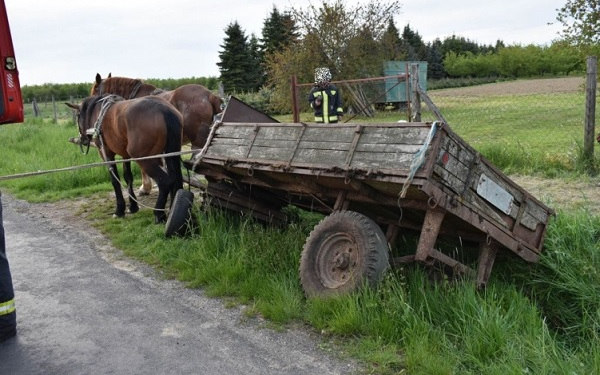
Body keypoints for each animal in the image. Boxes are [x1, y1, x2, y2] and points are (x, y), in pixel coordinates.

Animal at [65, 94, 183, 223]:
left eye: (77, 116)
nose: (83, 139)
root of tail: (163, 109)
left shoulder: (106, 153)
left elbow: (115, 180)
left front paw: (119, 210)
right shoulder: (125, 155)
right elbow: (128, 178)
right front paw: (133, 206)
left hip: (144, 159)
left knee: (165, 181)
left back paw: (159, 214)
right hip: (168, 154)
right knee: (175, 180)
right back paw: (173, 210)